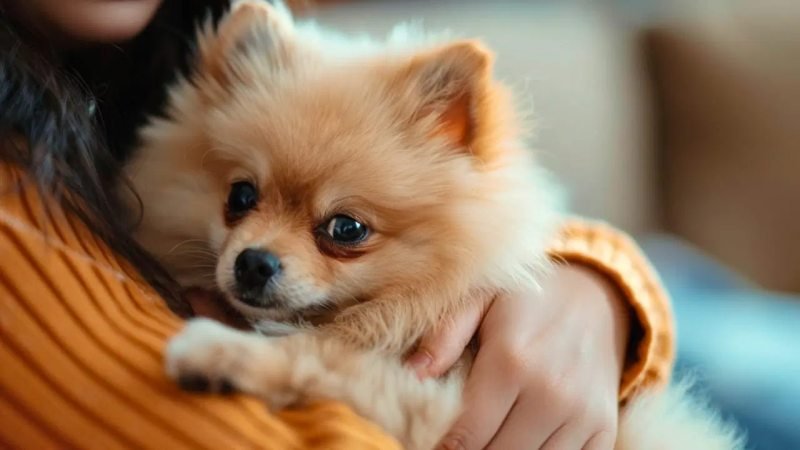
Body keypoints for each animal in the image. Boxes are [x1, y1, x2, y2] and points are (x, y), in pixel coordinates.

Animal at [123, 1, 744, 448]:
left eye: (346, 229)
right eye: (241, 195)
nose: (253, 262)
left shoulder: (440, 408)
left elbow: (322, 360)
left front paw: (218, 353)